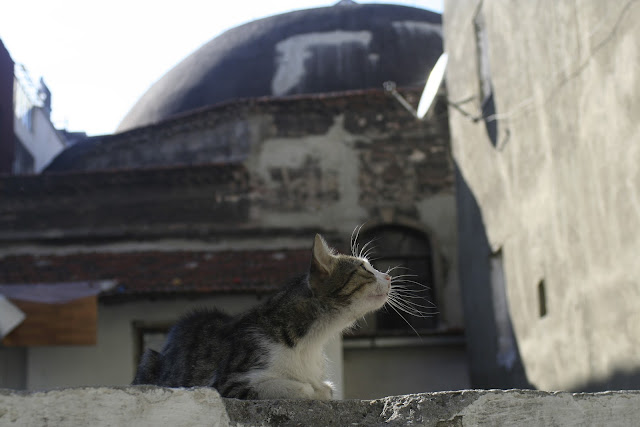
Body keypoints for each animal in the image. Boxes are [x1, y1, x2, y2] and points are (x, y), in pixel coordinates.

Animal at [134, 234, 396, 402]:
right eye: (364, 269)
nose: (388, 276)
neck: (310, 342)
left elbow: (326, 389)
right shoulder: (227, 383)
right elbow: (306, 389)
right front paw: (310, 390)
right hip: (149, 359)